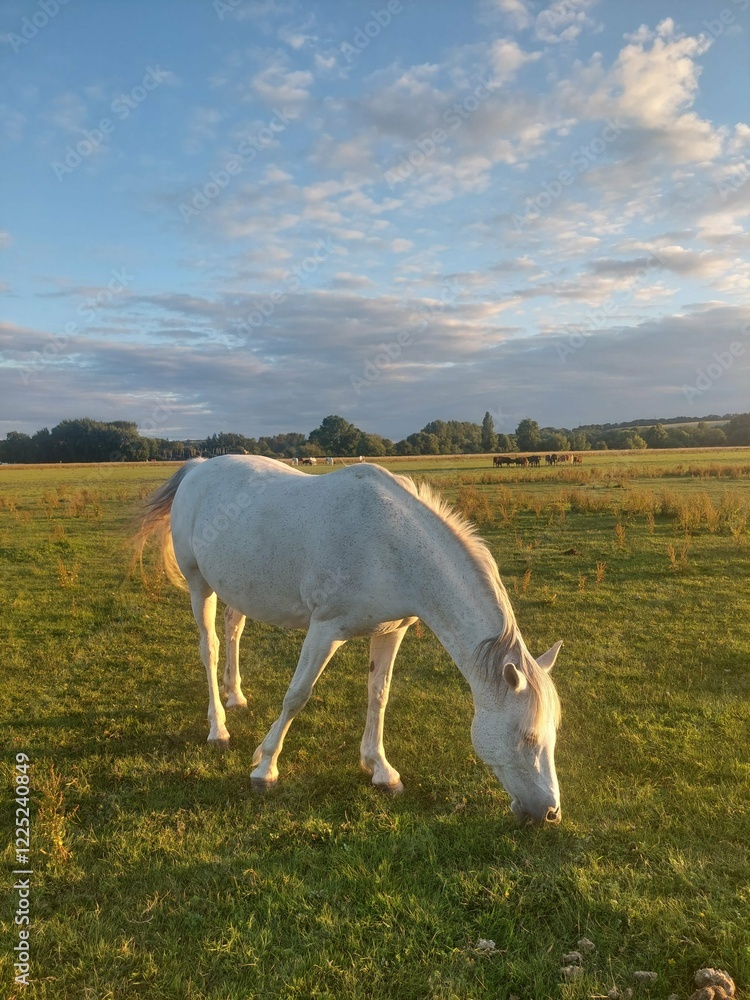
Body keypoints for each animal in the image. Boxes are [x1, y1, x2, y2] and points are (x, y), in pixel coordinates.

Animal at [134, 456, 563, 824]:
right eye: (527, 736)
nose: (550, 813)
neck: (391, 546)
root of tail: (198, 467)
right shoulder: (325, 629)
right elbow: (297, 695)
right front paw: (265, 767)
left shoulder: (392, 631)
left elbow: (379, 694)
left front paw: (381, 770)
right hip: (198, 583)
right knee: (209, 649)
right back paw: (218, 729)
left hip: (236, 587)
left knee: (233, 630)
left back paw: (235, 696)